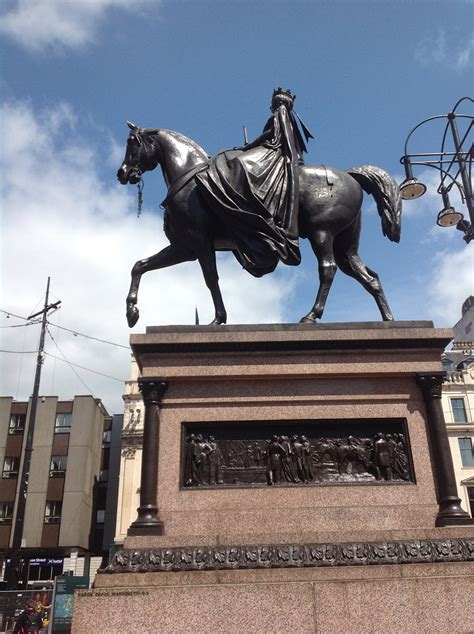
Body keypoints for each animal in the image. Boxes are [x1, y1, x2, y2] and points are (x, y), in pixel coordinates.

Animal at [116, 122, 402, 326]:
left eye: (132, 143)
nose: (122, 173)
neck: (189, 176)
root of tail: (352, 177)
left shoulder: (199, 241)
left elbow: (211, 278)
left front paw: (218, 319)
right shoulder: (184, 248)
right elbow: (139, 266)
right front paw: (131, 312)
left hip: (322, 233)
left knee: (328, 269)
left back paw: (310, 316)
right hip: (346, 245)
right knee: (369, 277)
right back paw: (389, 321)